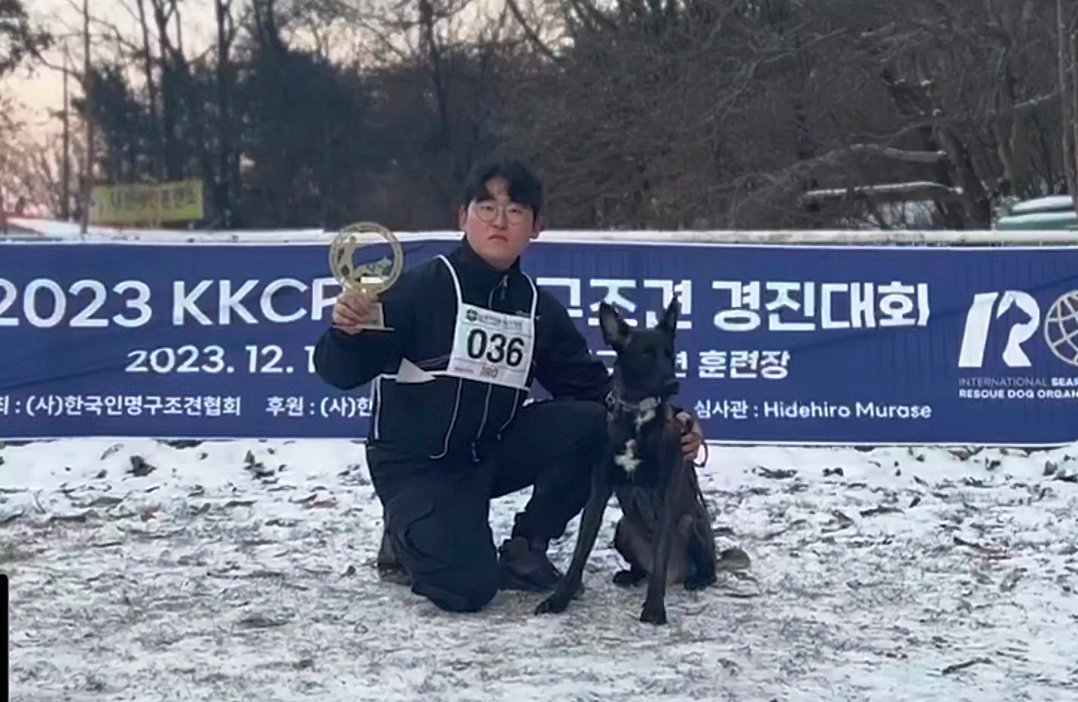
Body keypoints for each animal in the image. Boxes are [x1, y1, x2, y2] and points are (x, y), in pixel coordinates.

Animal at [536, 297, 715, 625]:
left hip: (689, 522)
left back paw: (697, 578)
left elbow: (659, 559)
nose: (673, 384)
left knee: (702, 568)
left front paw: (654, 608)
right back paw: (631, 575)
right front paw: (559, 599)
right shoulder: (599, 492)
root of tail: (678, 573)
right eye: (645, 354)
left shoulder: (663, 498)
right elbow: (580, 553)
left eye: (670, 354)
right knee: (643, 567)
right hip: (623, 527)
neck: (638, 416)